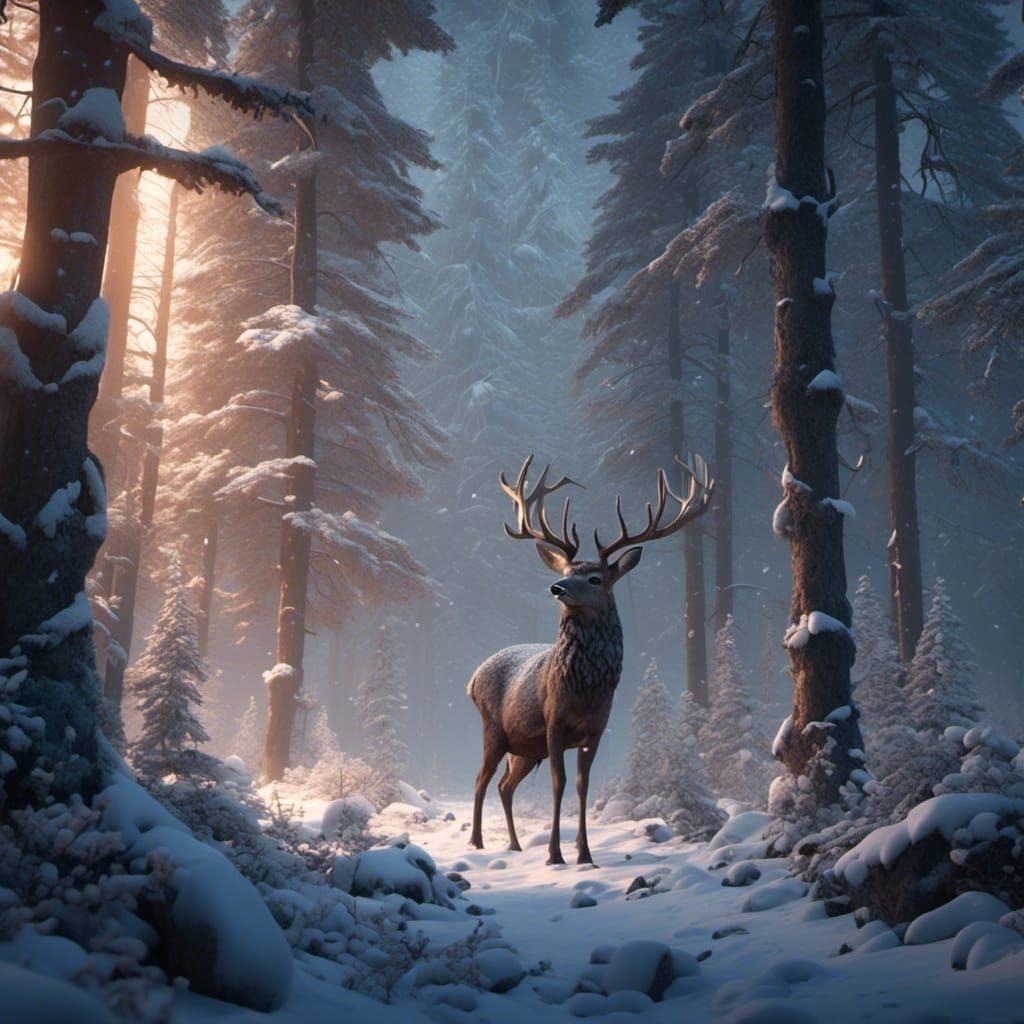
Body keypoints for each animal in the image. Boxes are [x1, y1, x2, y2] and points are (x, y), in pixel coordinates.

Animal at [467, 454, 713, 866]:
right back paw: (477, 842)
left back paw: (515, 844)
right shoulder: (553, 723)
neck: (586, 687)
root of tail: (472, 677)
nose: (556, 586)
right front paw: (554, 854)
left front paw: (584, 853)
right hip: (494, 729)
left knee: (504, 785)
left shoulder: (597, 728)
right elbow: (560, 782)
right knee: (481, 779)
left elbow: (583, 785)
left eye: (595, 578)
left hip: (523, 747)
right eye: (568, 572)